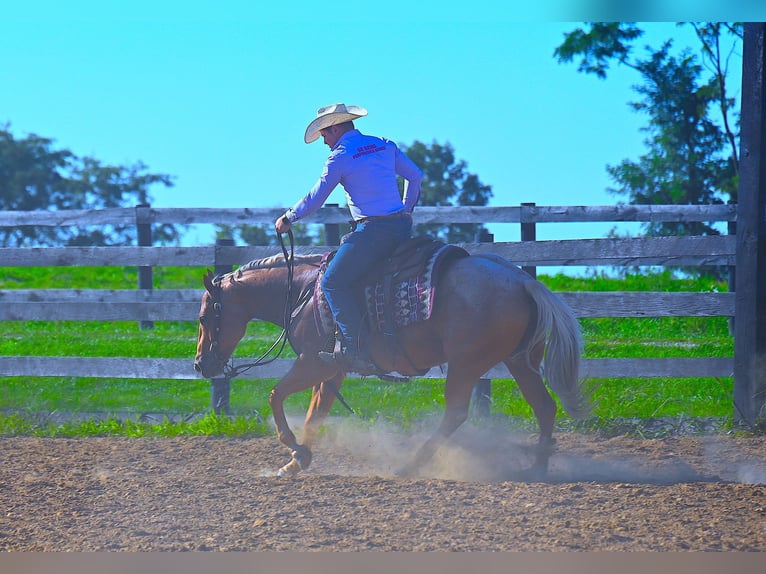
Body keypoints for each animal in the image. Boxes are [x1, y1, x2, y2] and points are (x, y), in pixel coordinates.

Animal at [195, 241, 592, 480]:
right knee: (544, 406)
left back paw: (409, 464)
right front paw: (297, 461)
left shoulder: (313, 362)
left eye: (204, 318)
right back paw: (538, 468)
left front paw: (294, 449)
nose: (201, 365)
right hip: (519, 362)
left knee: (456, 413)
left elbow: (276, 396)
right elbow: (314, 414)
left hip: (466, 364)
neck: (303, 292)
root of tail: (524, 281)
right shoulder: (332, 368)